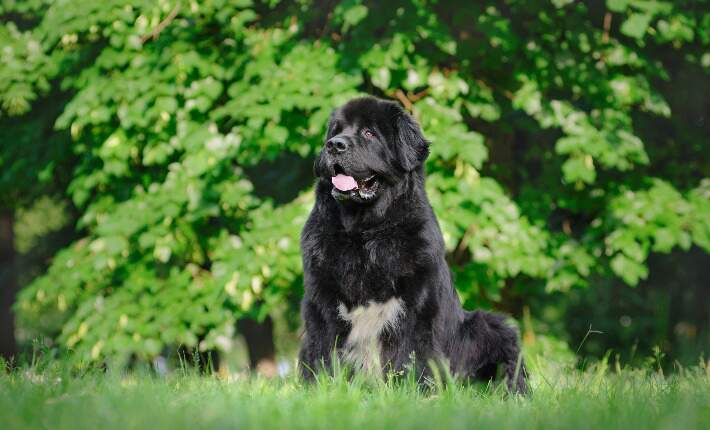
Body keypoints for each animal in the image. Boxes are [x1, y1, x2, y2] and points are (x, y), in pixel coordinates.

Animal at [298, 95, 528, 392]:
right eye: (336, 131)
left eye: (369, 133)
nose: (335, 145)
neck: (365, 233)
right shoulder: (321, 300)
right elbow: (321, 349)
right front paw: (319, 388)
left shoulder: (419, 303)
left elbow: (414, 353)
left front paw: (415, 391)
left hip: (489, 326)